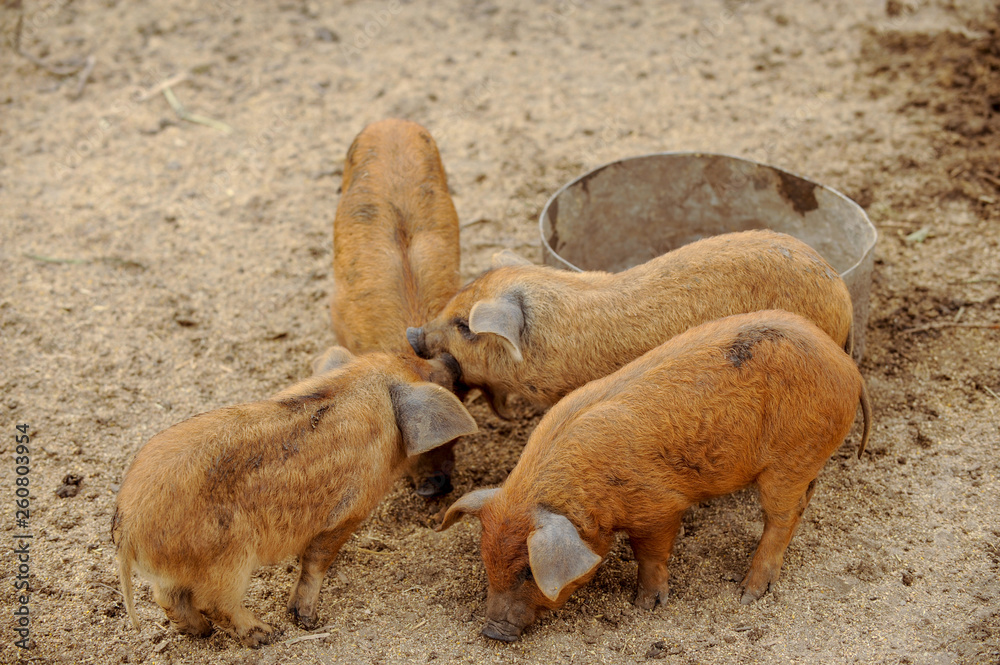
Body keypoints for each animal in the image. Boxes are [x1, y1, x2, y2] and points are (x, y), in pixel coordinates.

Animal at [112, 350, 477, 646]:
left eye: (409, 356)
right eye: (428, 375)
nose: (449, 359)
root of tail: (128, 525)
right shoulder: (347, 513)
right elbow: (316, 560)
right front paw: (308, 621)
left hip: (173, 570)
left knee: (168, 598)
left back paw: (200, 633)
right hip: (226, 558)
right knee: (213, 602)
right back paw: (267, 634)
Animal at [438, 310, 872, 642]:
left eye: (529, 571)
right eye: (486, 559)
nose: (493, 632)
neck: (587, 490)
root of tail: (847, 367)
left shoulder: (659, 506)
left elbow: (649, 554)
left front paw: (645, 606)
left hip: (789, 459)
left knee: (783, 516)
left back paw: (747, 593)